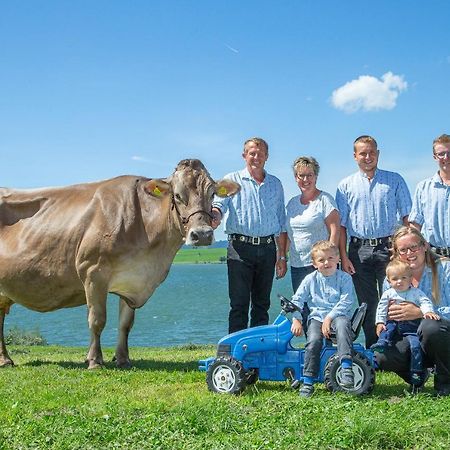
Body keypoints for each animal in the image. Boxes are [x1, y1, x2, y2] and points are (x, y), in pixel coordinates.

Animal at [0, 160, 239, 368]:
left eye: (212, 193)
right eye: (178, 195)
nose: (203, 234)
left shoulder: (131, 281)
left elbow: (125, 324)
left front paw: (123, 359)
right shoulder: (93, 272)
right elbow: (97, 319)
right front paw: (95, 361)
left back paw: (5, 360)